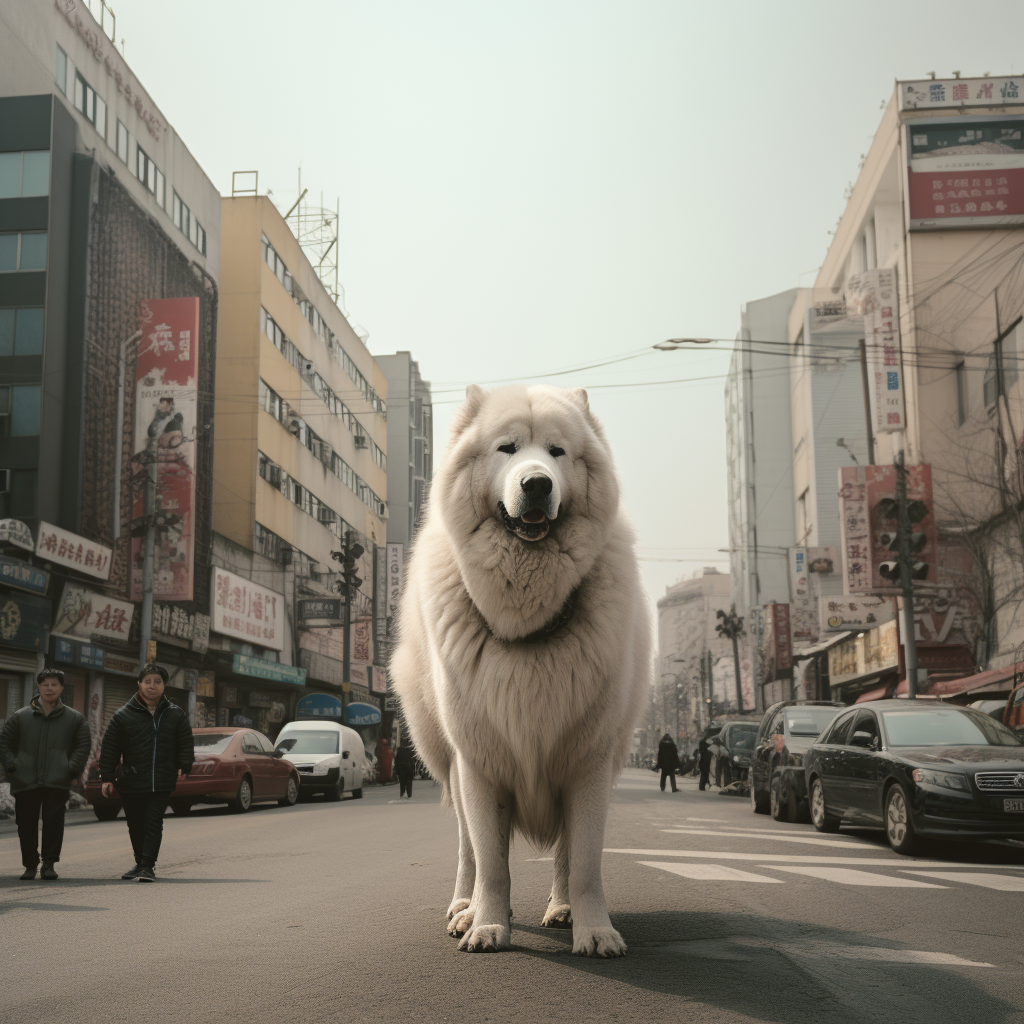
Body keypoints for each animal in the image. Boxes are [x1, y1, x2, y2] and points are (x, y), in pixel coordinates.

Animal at [387, 385, 651, 958]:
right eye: (507, 448)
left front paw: (595, 930)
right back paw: (464, 909)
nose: (536, 484)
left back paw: (562, 910)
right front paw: (488, 925)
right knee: (468, 849)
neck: (528, 622)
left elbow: (585, 863)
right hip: (450, 764)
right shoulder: (480, 763)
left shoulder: (588, 761)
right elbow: (492, 862)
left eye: (557, 452)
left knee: (565, 855)